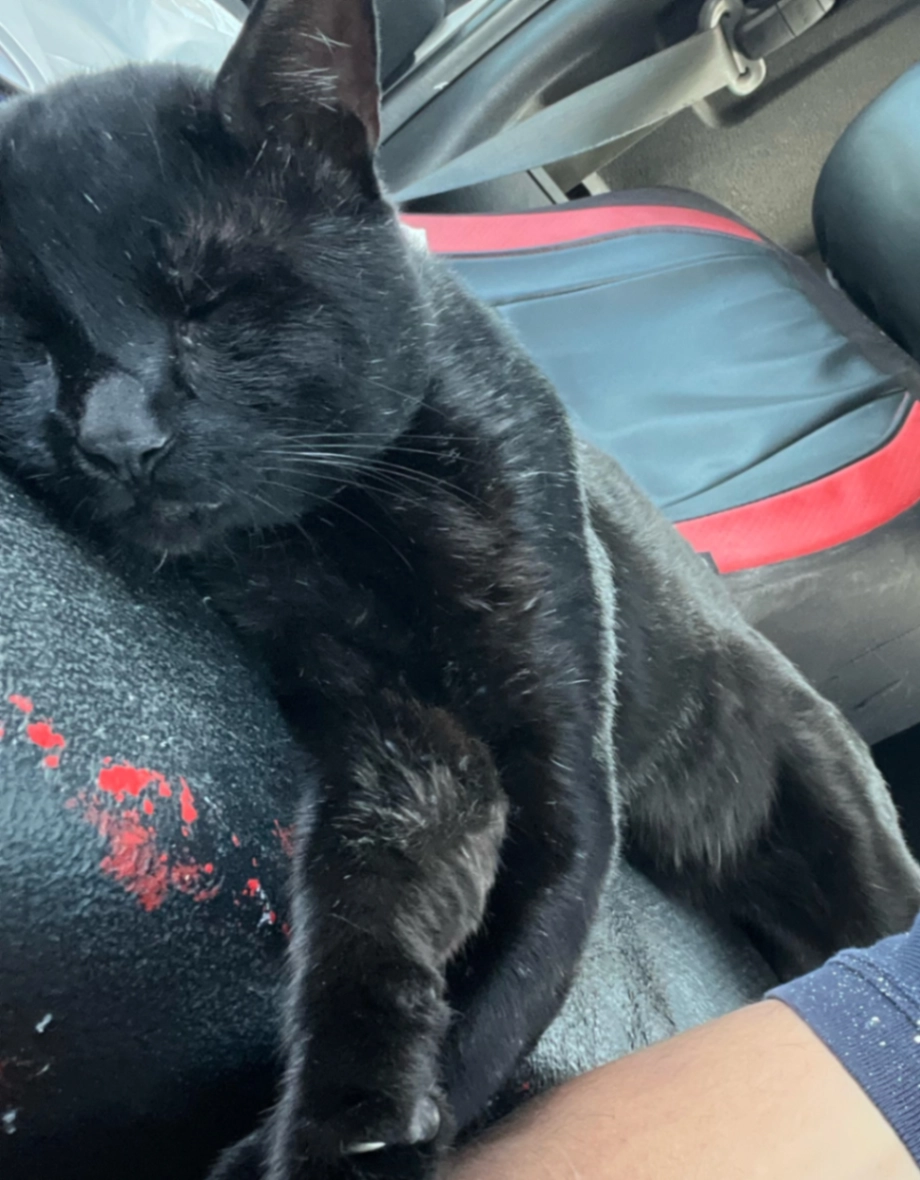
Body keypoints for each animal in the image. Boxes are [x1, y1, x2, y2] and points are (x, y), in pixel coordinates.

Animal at [0, 2, 917, 1179]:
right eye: (30, 340)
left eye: (212, 299)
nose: (117, 438)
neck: (349, 526)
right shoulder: (403, 741)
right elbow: (371, 920)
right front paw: (345, 1119)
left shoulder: (563, 764)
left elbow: (515, 977)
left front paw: (368, 1142)